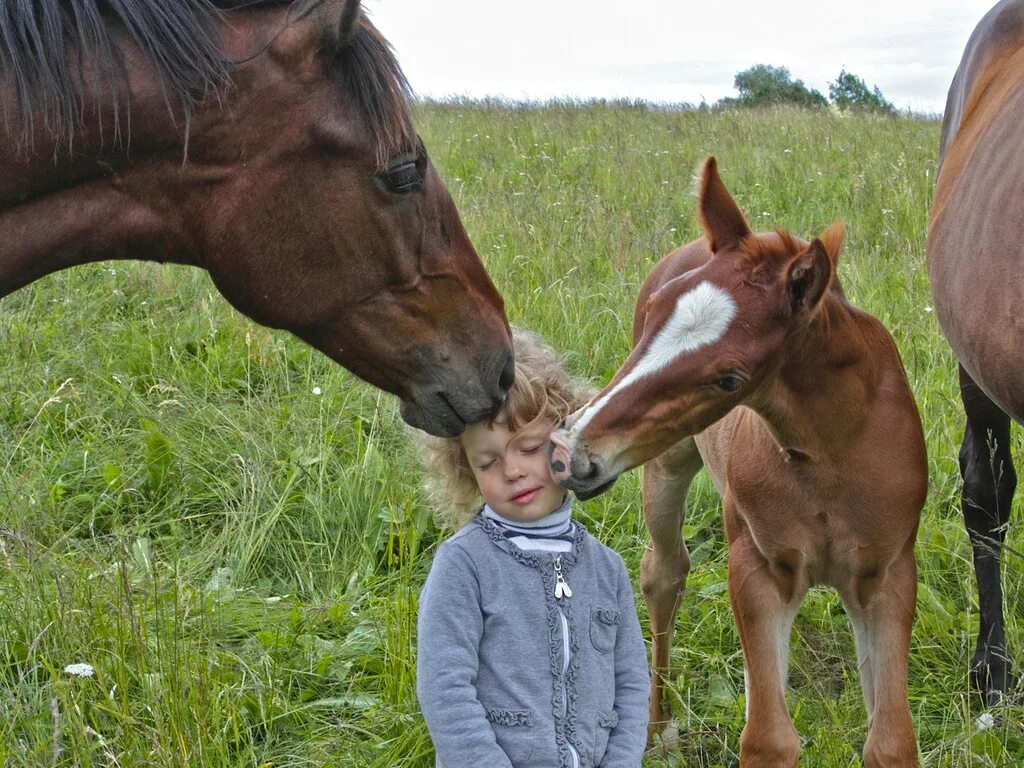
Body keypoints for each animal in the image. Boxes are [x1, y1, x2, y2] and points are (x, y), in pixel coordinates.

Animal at [552, 159, 929, 765]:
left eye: (729, 378)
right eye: (655, 311)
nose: (569, 451)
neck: (832, 459)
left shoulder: (888, 575)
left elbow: (891, 742)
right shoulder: (755, 567)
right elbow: (768, 738)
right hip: (666, 463)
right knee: (664, 573)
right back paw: (658, 728)